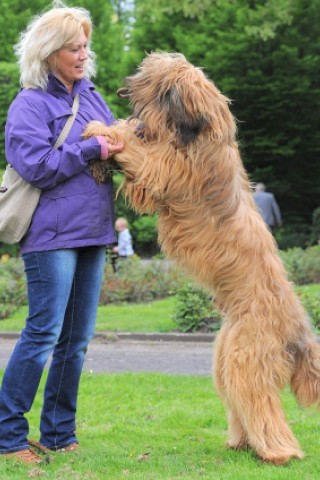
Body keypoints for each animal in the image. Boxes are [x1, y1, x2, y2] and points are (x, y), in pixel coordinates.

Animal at [84, 52, 320, 464]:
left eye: (151, 78)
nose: (123, 87)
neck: (200, 133)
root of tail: (299, 330)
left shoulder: (167, 170)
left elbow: (142, 154)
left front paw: (103, 129)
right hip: (225, 354)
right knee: (238, 400)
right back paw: (241, 442)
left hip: (247, 355)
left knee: (262, 405)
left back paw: (278, 452)